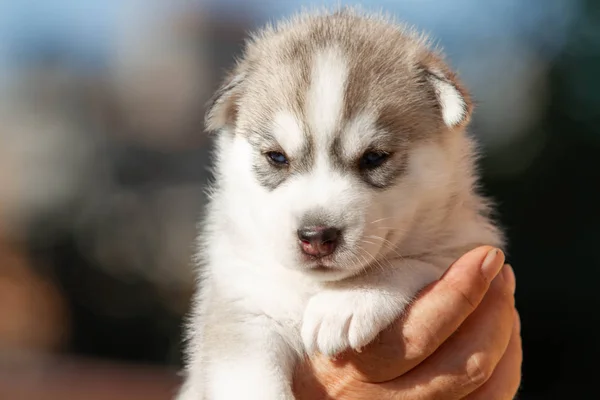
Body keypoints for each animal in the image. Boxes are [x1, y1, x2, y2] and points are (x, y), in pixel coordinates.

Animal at [177, 7, 502, 398]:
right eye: (277, 157)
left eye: (374, 157)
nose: (316, 236)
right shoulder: (243, 308)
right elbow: (249, 377)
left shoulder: (473, 243)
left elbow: (414, 259)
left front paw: (348, 301)